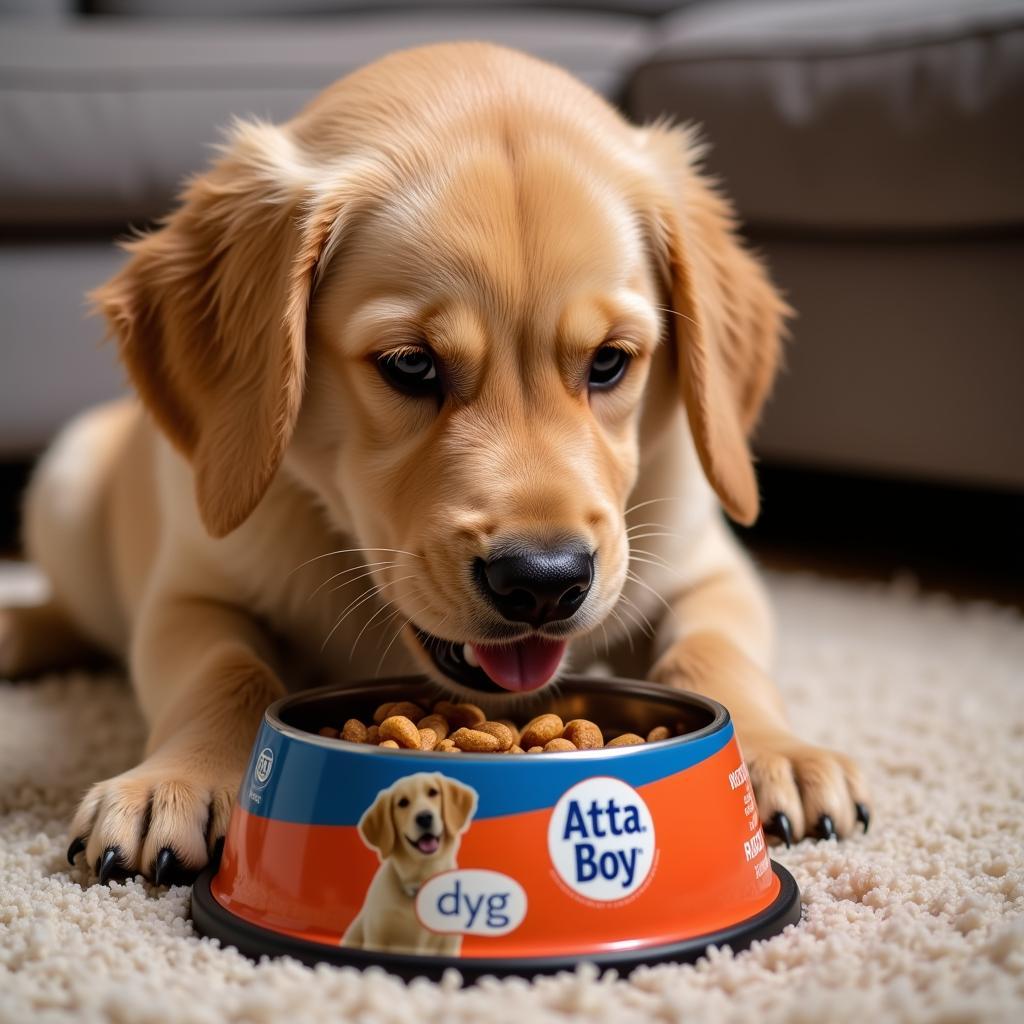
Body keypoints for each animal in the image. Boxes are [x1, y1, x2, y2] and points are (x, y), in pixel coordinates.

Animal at [0, 44, 872, 884]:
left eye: (610, 363)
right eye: (410, 365)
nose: (544, 583)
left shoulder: (707, 565)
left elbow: (715, 652)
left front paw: (777, 752)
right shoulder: (190, 589)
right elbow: (225, 671)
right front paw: (173, 781)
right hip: (66, 485)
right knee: (74, 612)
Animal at [342, 770, 473, 954]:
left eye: (433, 792)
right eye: (402, 803)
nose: (424, 817)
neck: (420, 877)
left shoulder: (448, 942)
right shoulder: (377, 935)